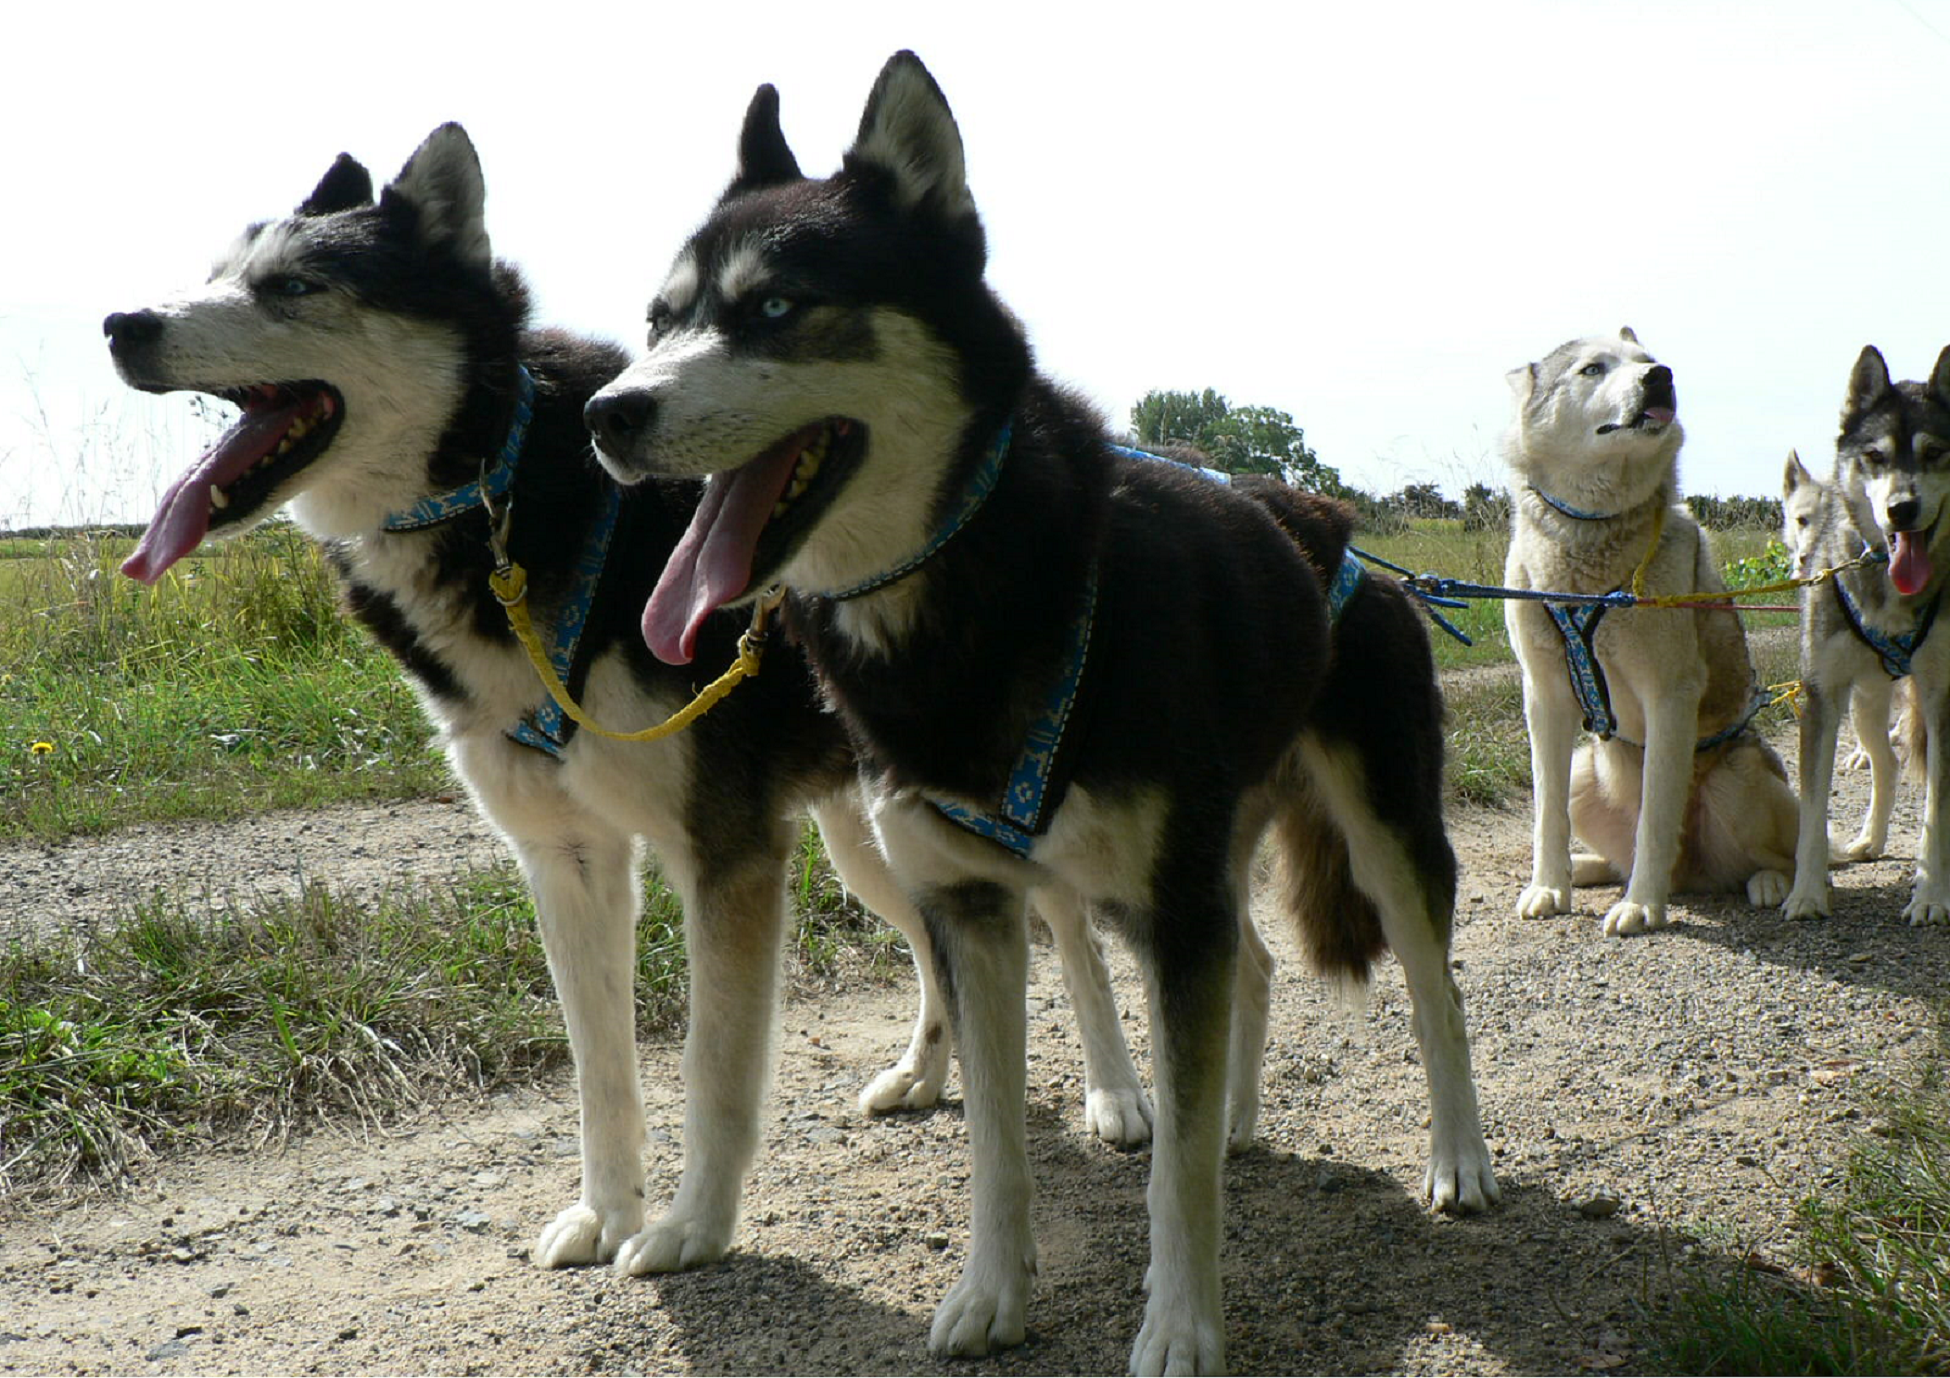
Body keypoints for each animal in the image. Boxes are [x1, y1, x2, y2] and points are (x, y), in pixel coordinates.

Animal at [102, 123, 1170, 1286]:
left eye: (294, 284)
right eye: (217, 272)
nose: (121, 324)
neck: (506, 497)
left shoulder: (725, 856)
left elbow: (714, 1069)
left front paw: (693, 1229)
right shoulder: (569, 861)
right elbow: (599, 1071)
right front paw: (605, 1211)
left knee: (1070, 931)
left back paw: (1117, 1092)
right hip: (868, 844)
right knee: (938, 954)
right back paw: (931, 1073)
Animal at [585, 51, 1497, 1372]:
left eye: (777, 308)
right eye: (660, 320)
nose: (606, 412)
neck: (974, 593)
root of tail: (1339, 533)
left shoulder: (1166, 907)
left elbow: (1172, 1174)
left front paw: (1180, 1324)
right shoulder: (975, 909)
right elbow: (999, 1142)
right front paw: (992, 1292)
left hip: (1379, 830)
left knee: (1437, 997)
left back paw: (1459, 1157)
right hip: (1185, 865)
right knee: (1255, 968)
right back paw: (1238, 1119)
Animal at [1505, 331, 1794, 939]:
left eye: (1647, 361)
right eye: (1592, 368)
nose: (1661, 376)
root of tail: (1692, 876)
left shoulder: (1670, 695)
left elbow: (1656, 819)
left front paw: (1641, 905)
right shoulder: (1543, 695)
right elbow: (1546, 815)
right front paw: (1549, 886)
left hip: (1736, 782)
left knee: (1793, 854)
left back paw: (1771, 883)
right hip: (1584, 774)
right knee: (1609, 847)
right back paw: (1587, 868)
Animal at [1786, 448, 1903, 916]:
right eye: (1801, 519)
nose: (1807, 559)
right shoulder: (1823, 696)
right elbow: (1811, 810)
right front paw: (1809, 889)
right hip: (1865, 703)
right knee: (1888, 762)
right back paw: (1871, 838)